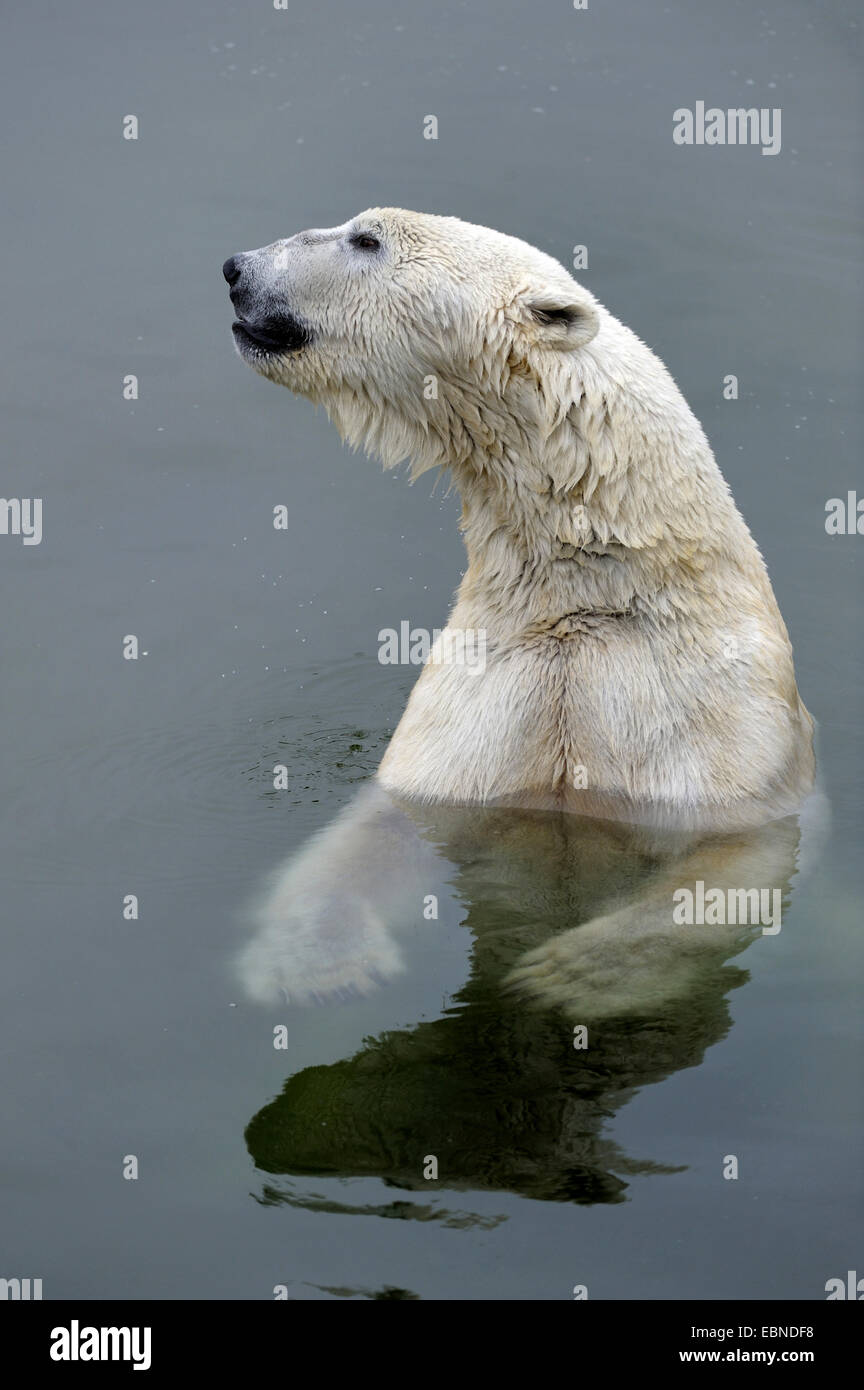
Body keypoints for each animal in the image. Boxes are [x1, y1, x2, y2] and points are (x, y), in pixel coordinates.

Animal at [223, 208, 816, 1011]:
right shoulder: (485, 695)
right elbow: (381, 828)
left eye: (367, 238)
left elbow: (729, 874)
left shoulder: (717, 732)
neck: (590, 592)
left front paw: (568, 974)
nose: (237, 268)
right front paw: (312, 962)